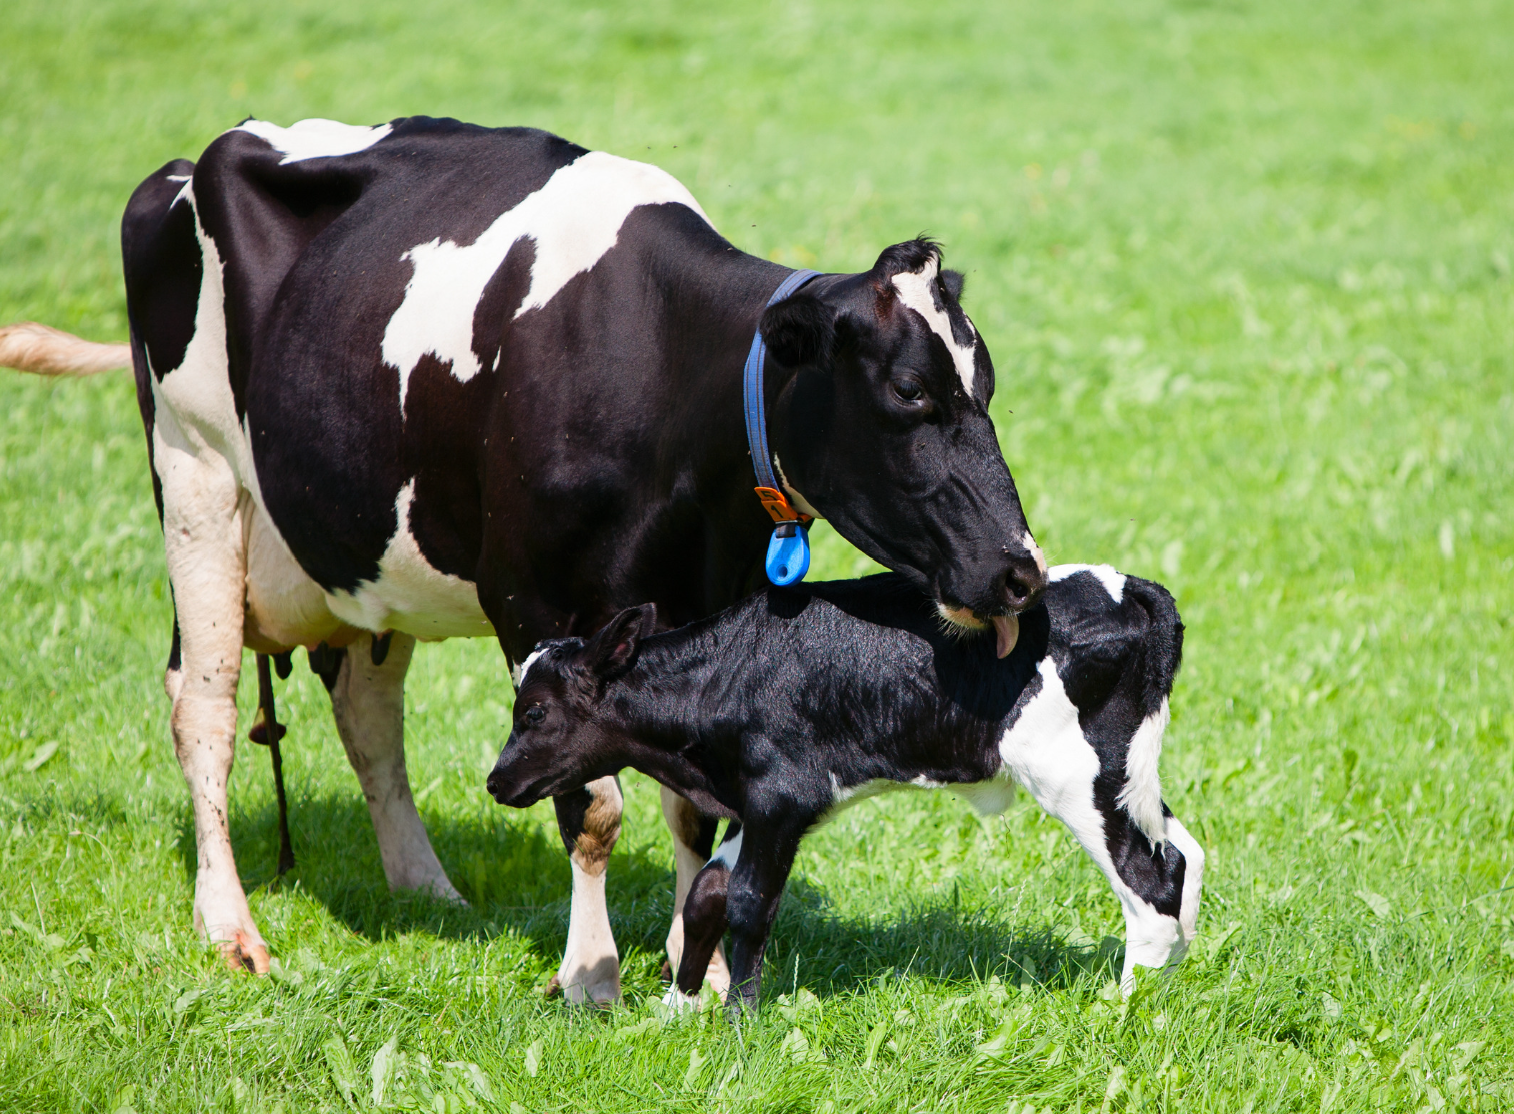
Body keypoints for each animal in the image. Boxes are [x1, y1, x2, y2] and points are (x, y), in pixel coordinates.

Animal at [0, 117, 1047, 1005]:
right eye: (909, 391)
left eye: (990, 383)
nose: (1020, 572)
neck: (662, 366)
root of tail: (188, 163)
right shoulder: (533, 601)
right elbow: (591, 805)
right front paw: (590, 975)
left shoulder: (712, 594)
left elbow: (692, 804)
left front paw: (696, 969)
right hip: (196, 476)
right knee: (205, 706)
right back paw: (232, 930)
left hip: (367, 546)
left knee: (367, 712)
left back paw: (426, 889)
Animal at [490, 569, 1211, 1011]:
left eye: (535, 713)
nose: (497, 781)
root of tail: (1132, 590)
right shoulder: (758, 805)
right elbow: (706, 894)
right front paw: (677, 1008)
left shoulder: (780, 796)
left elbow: (748, 903)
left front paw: (738, 1019)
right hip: (1125, 771)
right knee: (1184, 851)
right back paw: (1164, 989)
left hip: (1073, 774)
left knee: (1149, 880)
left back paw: (1120, 1009)